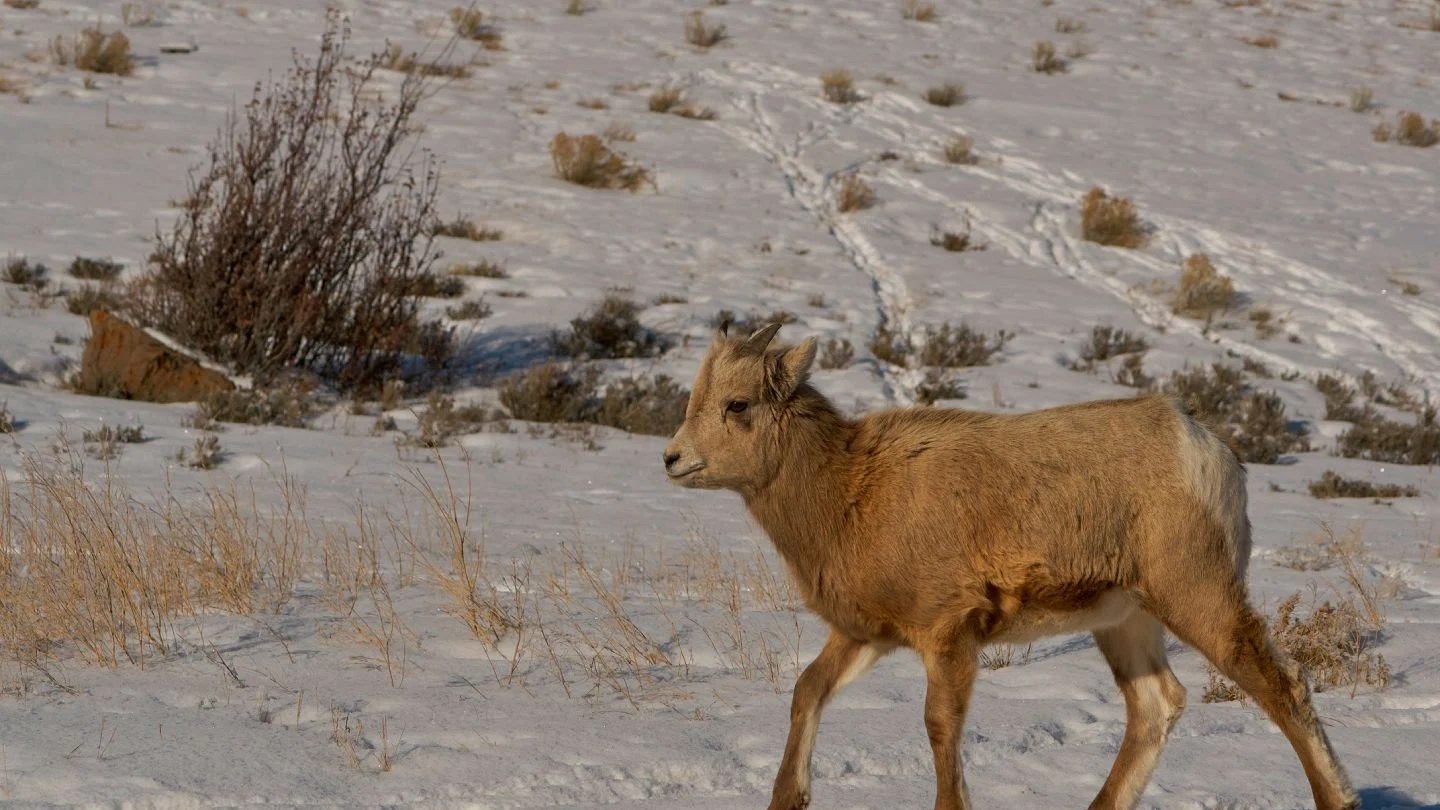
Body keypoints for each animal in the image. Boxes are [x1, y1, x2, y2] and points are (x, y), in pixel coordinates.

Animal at [662, 322, 1359, 807]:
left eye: (737, 404)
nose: (672, 459)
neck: (850, 491)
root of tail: (1207, 449)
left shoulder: (947, 635)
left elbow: (940, 729)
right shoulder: (867, 636)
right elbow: (807, 691)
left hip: (1198, 599)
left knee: (1282, 686)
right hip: (1125, 621)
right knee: (1156, 705)